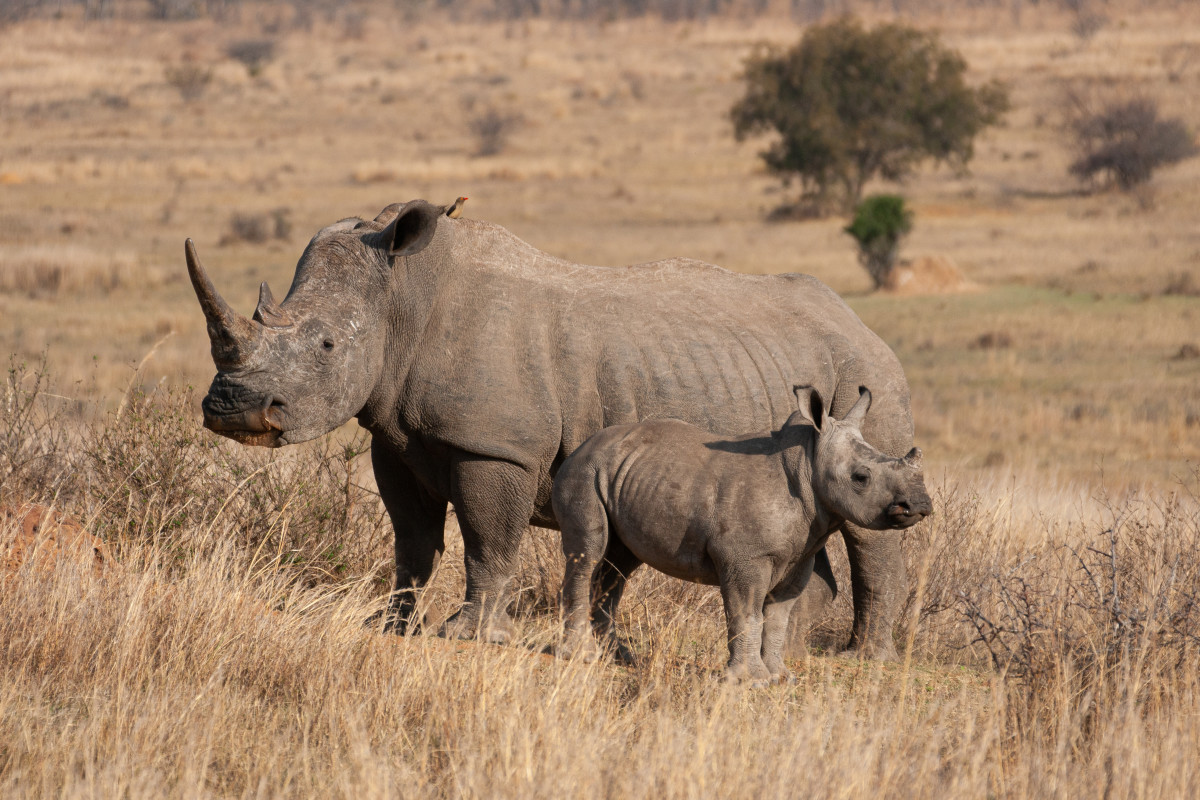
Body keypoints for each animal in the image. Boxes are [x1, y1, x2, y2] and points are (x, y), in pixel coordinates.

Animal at [187, 199, 912, 657]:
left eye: (328, 346)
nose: (232, 409)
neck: (405, 297)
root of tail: (861, 323)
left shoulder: (495, 447)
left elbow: (487, 541)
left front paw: (467, 634)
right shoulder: (393, 436)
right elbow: (412, 542)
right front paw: (388, 627)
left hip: (866, 375)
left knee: (867, 522)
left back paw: (859, 661)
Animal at [549, 383, 931, 686]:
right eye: (861, 478)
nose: (920, 504)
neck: (808, 463)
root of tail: (581, 446)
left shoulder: (800, 555)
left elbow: (778, 618)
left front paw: (780, 677)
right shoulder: (745, 556)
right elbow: (746, 613)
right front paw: (751, 681)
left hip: (619, 472)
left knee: (619, 565)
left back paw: (616, 657)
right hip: (584, 471)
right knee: (588, 553)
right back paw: (579, 656)